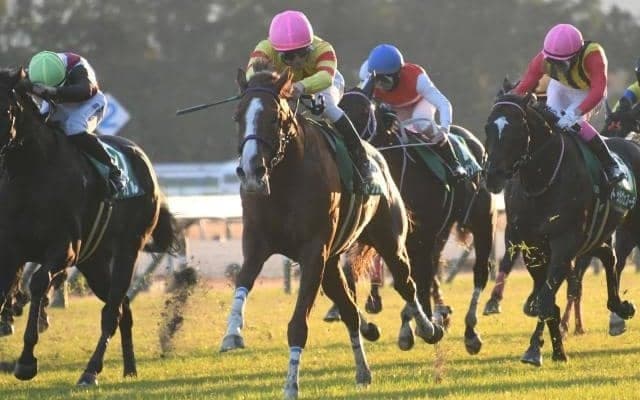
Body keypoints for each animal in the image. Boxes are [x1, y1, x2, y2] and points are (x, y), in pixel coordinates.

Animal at [0, 67, 178, 384]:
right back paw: (129, 368)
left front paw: (26, 361)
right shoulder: (11, 250)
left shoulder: (64, 249)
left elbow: (38, 283)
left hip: (127, 250)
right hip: (94, 261)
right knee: (123, 308)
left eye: (6, 110)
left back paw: (90, 371)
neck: (33, 173)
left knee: (111, 312)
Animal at [220, 62, 443, 399]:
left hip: (389, 241)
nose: (251, 171)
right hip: (332, 264)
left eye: (274, 117)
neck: (285, 180)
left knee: (406, 284)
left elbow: (298, 325)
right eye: (236, 116)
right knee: (349, 309)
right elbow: (242, 282)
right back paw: (363, 369)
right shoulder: (257, 243)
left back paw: (428, 328)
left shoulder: (313, 253)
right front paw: (232, 333)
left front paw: (291, 385)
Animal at [338, 80, 495, 355]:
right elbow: (349, 277)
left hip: (481, 223)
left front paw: (425, 325)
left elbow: (416, 280)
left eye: (363, 110)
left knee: (479, 273)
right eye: (339, 105)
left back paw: (469, 331)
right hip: (440, 233)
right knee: (430, 270)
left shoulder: (419, 237)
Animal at [484, 90, 637, 366]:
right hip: (600, 235)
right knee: (610, 257)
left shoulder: (564, 243)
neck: (542, 179)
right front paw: (556, 349)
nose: (493, 176)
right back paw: (618, 309)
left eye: (516, 131)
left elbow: (547, 298)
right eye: (488, 128)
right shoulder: (533, 246)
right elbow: (546, 296)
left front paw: (534, 349)